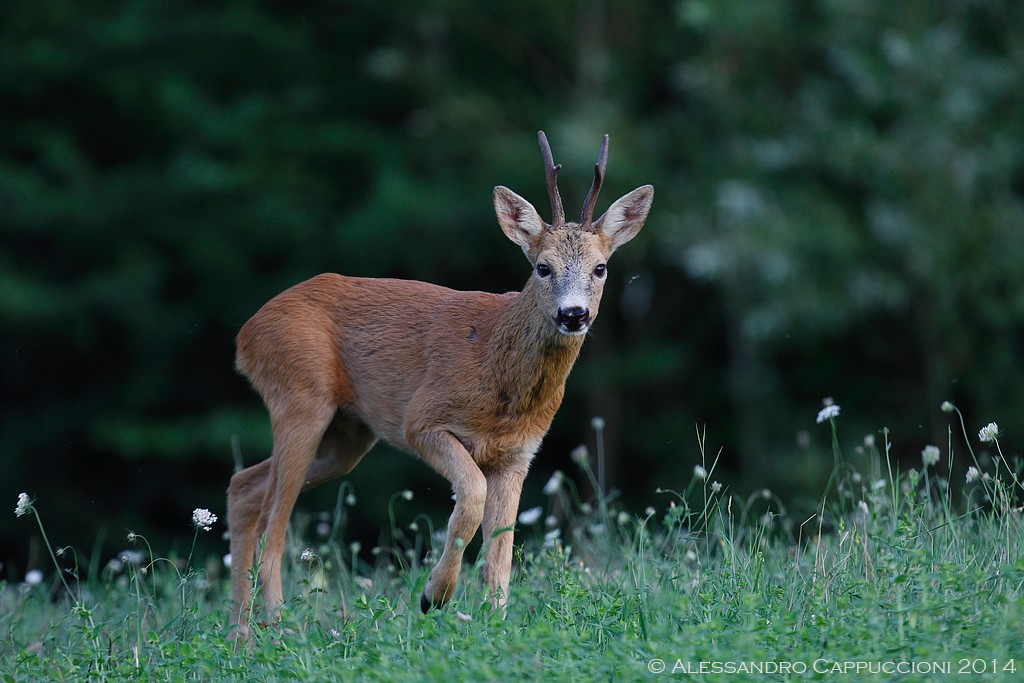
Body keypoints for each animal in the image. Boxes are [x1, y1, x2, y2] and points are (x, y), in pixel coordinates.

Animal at [228, 129, 651, 630]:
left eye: (600, 268)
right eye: (542, 267)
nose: (573, 314)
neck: (499, 372)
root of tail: (245, 334)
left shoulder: (519, 454)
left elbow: (501, 548)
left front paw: (495, 622)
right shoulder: (423, 420)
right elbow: (470, 497)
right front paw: (434, 595)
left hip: (347, 435)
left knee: (245, 487)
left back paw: (239, 630)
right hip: (300, 398)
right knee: (272, 518)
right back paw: (277, 624)